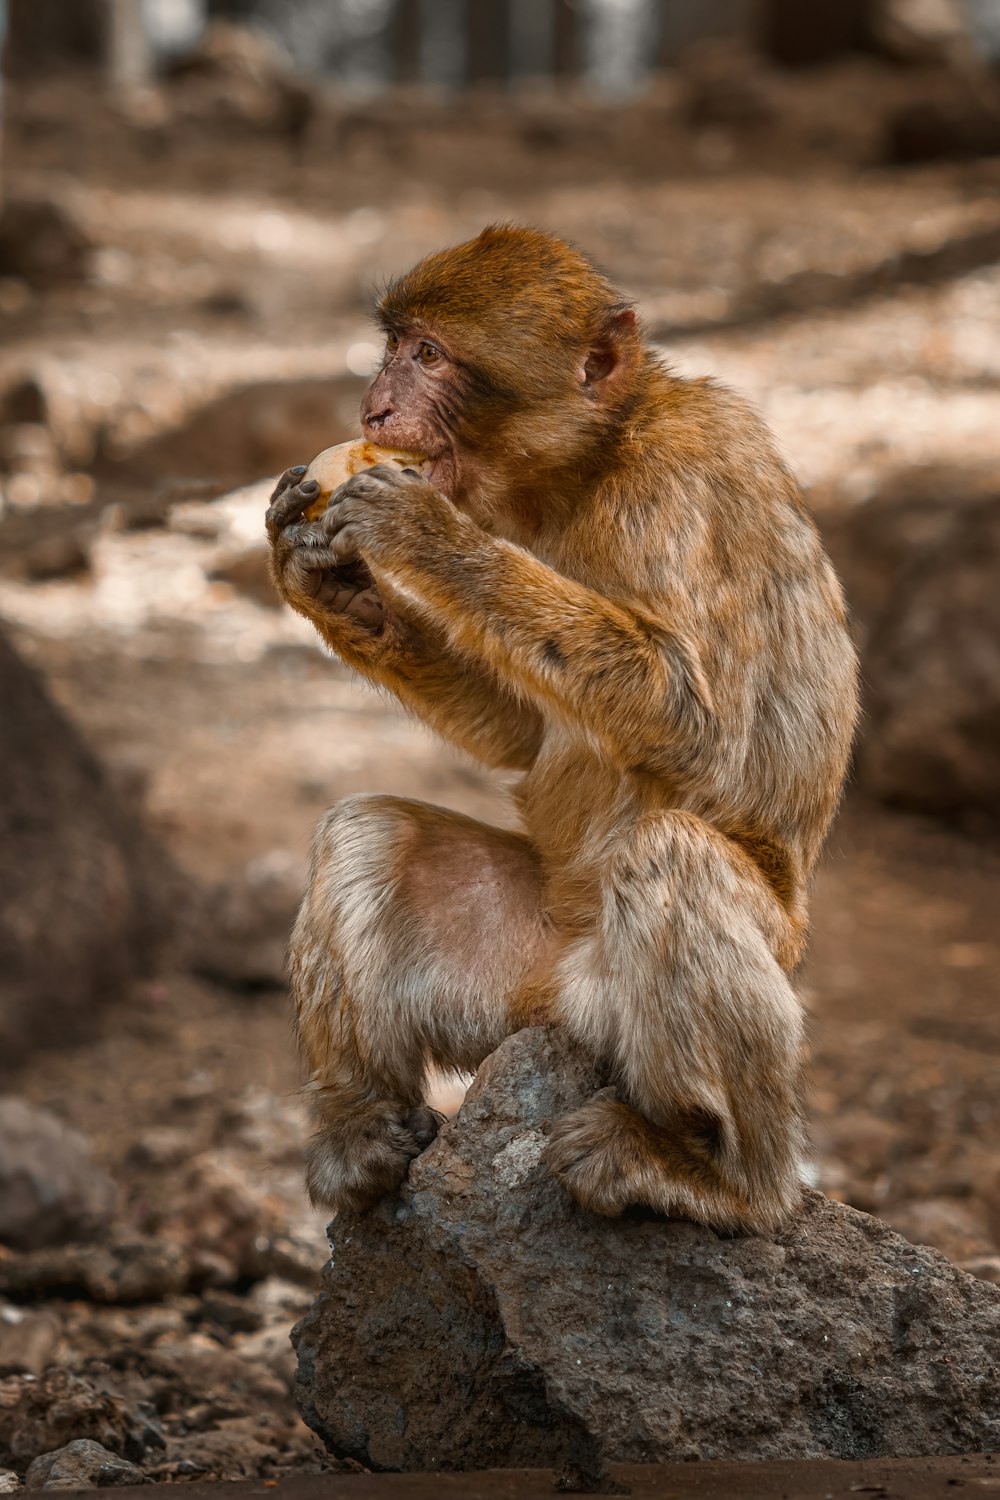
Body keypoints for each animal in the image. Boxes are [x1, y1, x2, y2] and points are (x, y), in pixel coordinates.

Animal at [268, 222, 863, 1230]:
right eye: (395, 346)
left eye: (429, 356)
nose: (374, 407)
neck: (589, 461)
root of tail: (562, 990)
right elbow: (521, 734)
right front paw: (329, 582)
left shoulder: (680, 482)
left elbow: (693, 721)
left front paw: (424, 537)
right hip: (508, 986)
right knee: (366, 830)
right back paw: (361, 1127)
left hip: (732, 965)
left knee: (672, 854)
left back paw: (724, 1178)